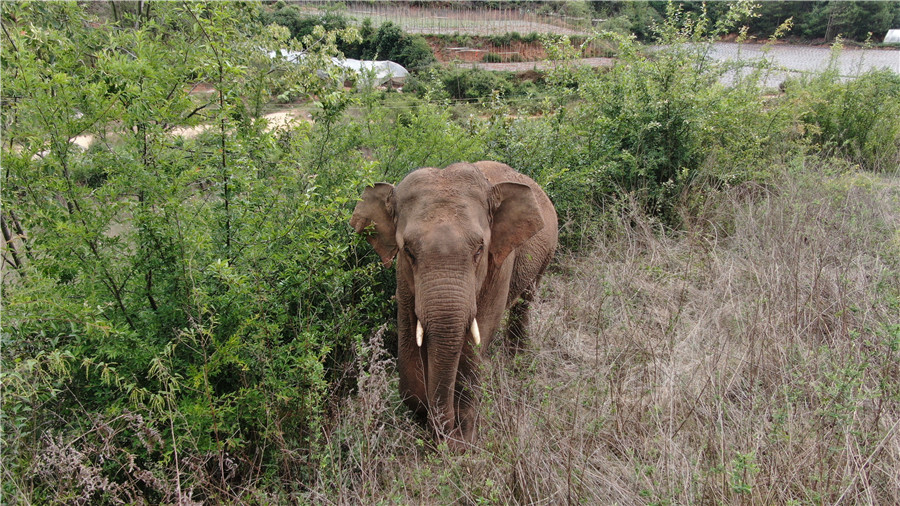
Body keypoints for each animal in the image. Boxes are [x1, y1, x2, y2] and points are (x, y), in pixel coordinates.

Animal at [350, 161, 557, 449]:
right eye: (408, 251)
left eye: (479, 250)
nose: (446, 436)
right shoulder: (403, 277)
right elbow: (408, 336)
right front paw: (423, 419)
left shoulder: (499, 264)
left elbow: (477, 337)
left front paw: (463, 439)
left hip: (545, 254)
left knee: (525, 301)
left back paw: (516, 360)